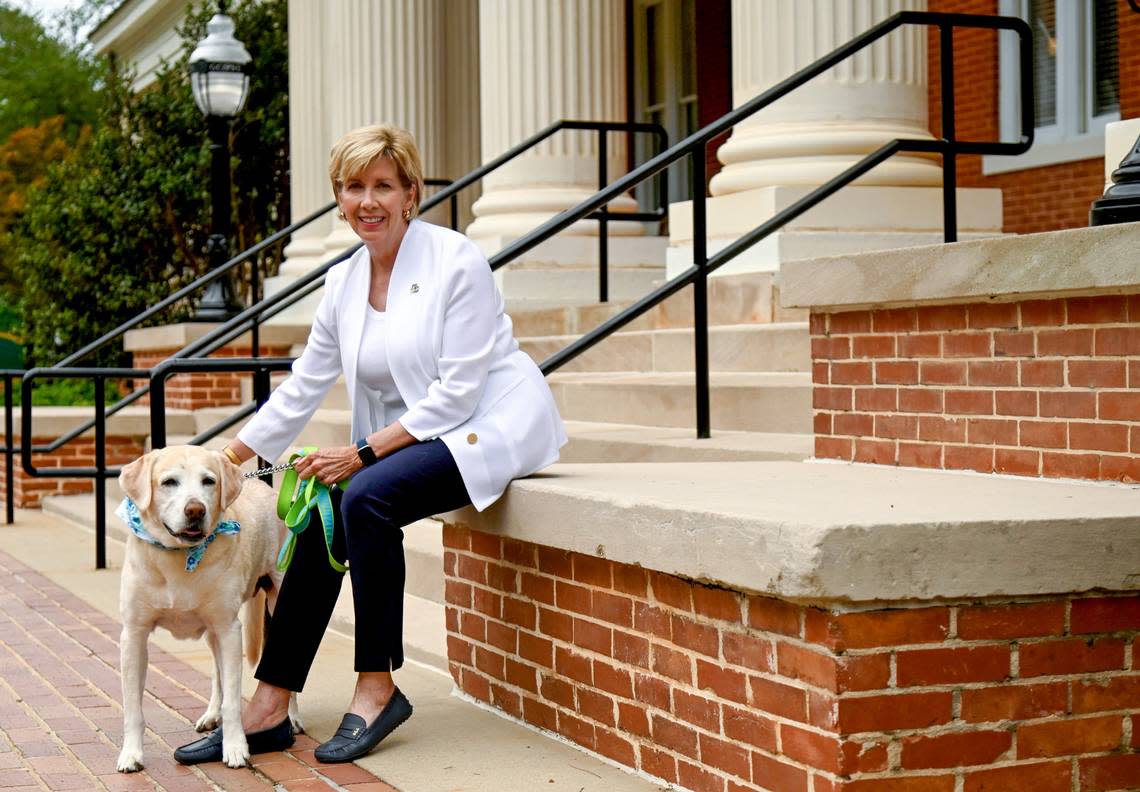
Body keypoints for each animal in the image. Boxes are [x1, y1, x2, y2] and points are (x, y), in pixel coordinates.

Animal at [115, 448, 298, 770]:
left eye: (209, 481)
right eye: (169, 482)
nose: (195, 510)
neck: (178, 557)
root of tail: (265, 487)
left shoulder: (229, 630)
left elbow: (234, 701)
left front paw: (235, 747)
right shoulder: (134, 635)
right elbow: (133, 707)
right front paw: (131, 754)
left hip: (277, 603)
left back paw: (292, 716)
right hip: (212, 633)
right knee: (217, 672)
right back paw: (212, 713)